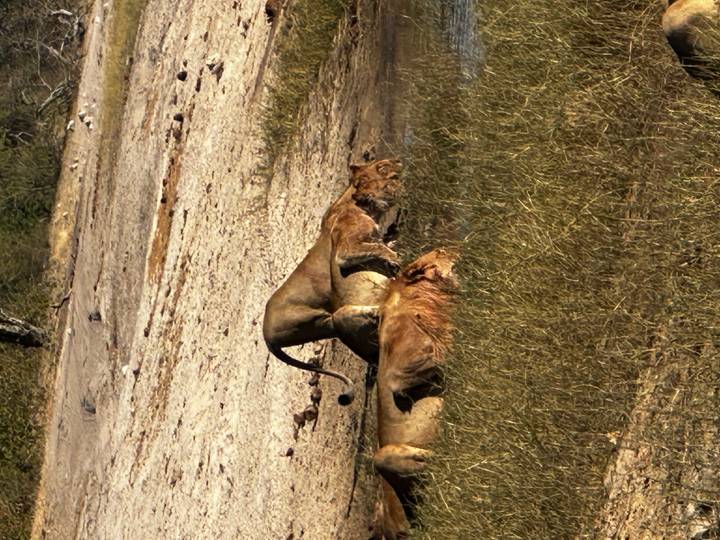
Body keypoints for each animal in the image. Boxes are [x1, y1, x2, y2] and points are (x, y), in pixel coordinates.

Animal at [263, 159, 403, 405]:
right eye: (382, 168)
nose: (398, 163)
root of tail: (266, 336)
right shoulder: (345, 251)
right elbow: (377, 248)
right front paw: (394, 258)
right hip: (321, 320)